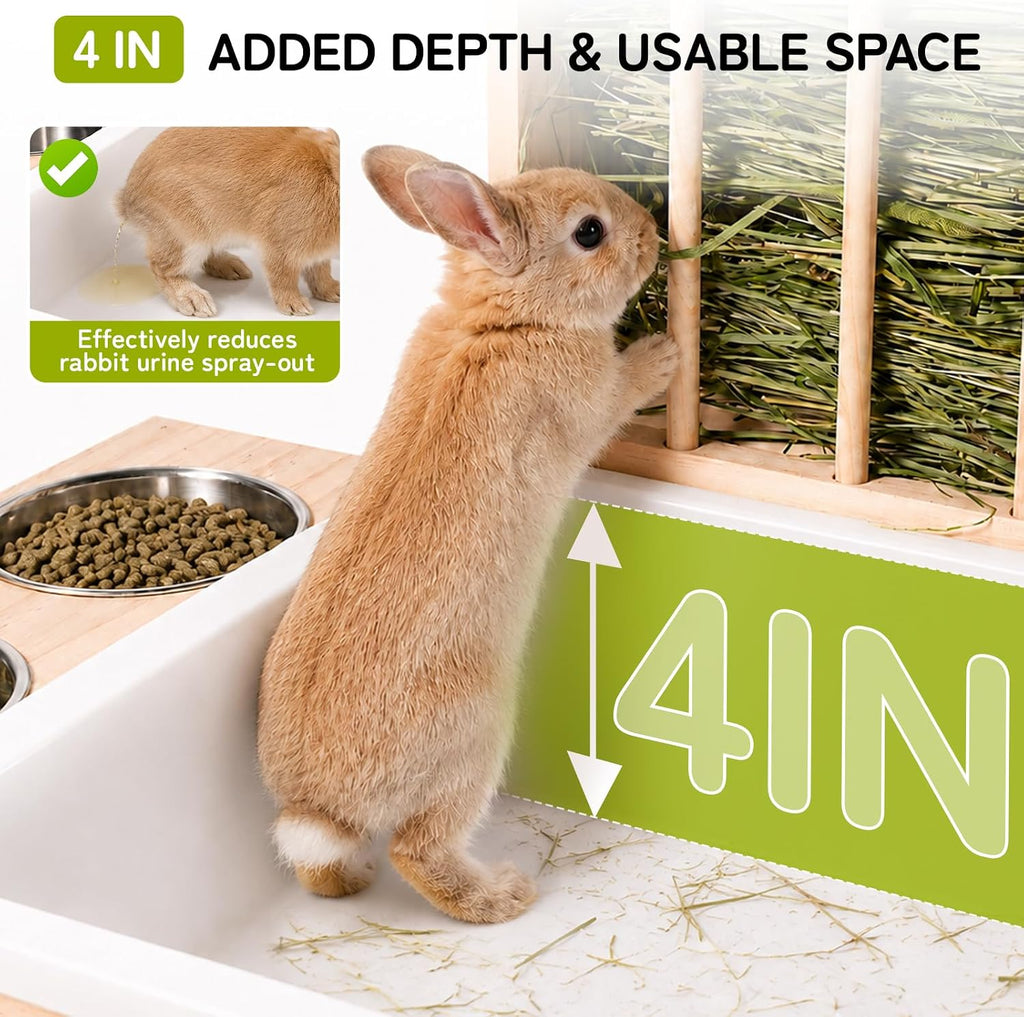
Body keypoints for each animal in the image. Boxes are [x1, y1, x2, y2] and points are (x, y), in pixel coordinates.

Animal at [115, 127, 339, 318]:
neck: (330, 174)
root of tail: (127, 200)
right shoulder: (279, 245)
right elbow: (283, 278)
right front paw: (295, 306)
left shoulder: (317, 254)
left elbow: (320, 273)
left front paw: (333, 292)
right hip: (186, 238)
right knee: (162, 269)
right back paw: (195, 301)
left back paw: (232, 268)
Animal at [257, 145, 679, 924]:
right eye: (590, 233)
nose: (652, 233)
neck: (506, 321)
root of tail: (324, 808)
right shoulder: (588, 400)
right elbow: (620, 393)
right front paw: (661, 354)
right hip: (473, 747)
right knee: (418, 850)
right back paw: (504, 895)